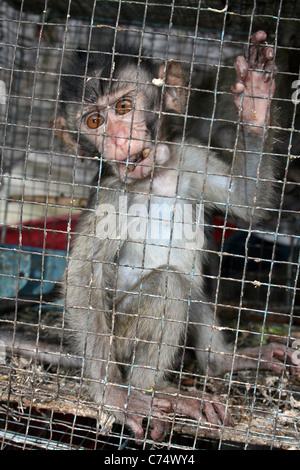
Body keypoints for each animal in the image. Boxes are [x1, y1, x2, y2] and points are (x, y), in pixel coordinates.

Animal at [53, 31, 298, 442]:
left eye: (124, 107)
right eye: (95, 121)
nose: (118, 141)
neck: (155, 180)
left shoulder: (189, 158)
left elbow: (247, 203)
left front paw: (255, 103)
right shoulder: (112, 196)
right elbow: (84, 276)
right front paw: (115, 398)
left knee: (190, 283)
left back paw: (222, 361)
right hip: (119, 338)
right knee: (169, 284)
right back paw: (152, 391)